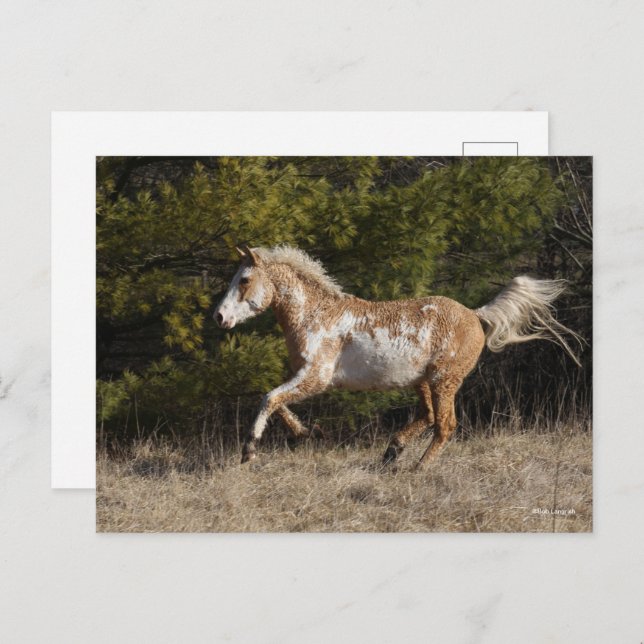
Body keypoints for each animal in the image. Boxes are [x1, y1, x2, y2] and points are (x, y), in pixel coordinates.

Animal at [214, 245, 580, 469]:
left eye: (244, 280)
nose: (219, 317)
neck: (315, 315)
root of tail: (475, 315)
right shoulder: (304, 377)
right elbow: (278, 402)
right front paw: (309, 433)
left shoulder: (316, 377)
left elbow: (269, 398)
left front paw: (249, 451)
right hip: (422, 381)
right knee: (429, 417)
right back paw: (392, 452)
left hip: (444, 380)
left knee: (445, 425)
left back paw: (417, 468)